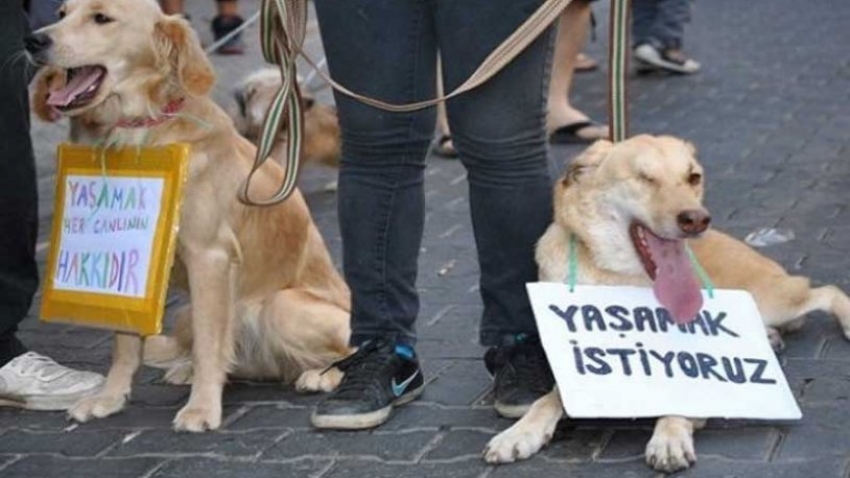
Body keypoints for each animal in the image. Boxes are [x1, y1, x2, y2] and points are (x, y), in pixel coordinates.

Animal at [25, 0, 352, 432]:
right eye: (61, 13)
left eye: (101, 18)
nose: (33, 40)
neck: (141, 131)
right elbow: (125, 345)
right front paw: (109, 398)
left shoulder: (209, 256)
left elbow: (211, 344)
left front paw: (202, 408)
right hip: (184, 312)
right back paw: (187, 369)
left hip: (280, 307)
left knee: (349, 349)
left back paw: (320, 375)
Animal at [484, 134, 848, 470]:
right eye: (645, 178)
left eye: (693, 177)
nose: (697, 220)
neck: (617, 277)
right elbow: (547, 400)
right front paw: (519, 433)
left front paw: (670, 437)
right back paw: (770, 338)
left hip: (773, 297)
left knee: (825, 290)